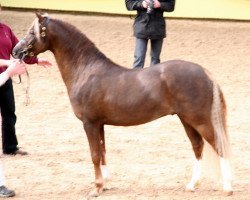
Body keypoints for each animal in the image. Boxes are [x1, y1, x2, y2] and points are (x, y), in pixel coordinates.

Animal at [13, 12, 232, 197]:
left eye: (32, 32)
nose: (16, 51)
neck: (86, 70)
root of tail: (205, 72)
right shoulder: (99, 124)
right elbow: (102, 152)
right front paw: (105, 184)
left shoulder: (89, 123)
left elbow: (94, 154)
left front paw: (96, 188)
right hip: (186, 120)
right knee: (197, 146)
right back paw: (192, 185)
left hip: (200, 120)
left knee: (219, 146)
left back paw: (228, 188)